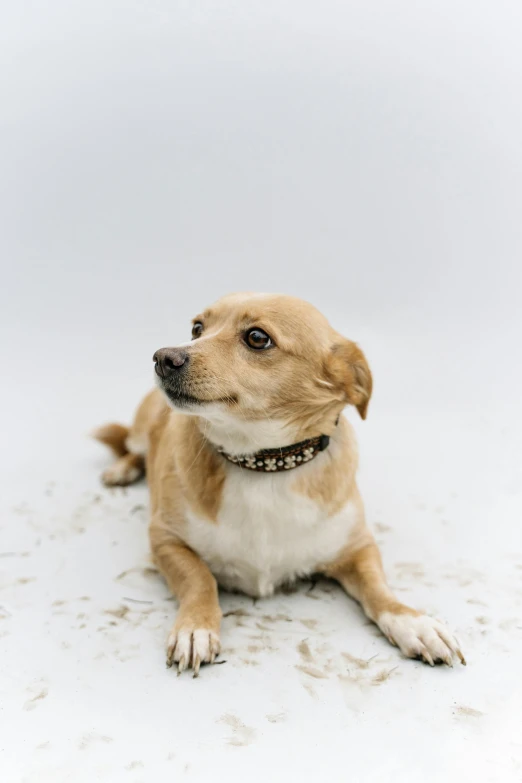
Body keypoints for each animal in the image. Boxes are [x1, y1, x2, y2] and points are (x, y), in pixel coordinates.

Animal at [93, 292, 464, 672]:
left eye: (257, 338)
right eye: (197, 328)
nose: (163, 357)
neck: (264, 465)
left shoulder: (359, 546)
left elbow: (379, 589)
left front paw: (413, 622)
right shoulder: (164, 538)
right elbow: (200, 578)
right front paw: (195, 627)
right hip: (142, 430)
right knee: (132, 446)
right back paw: (121, 469)